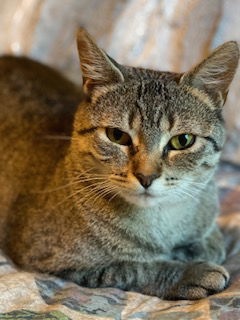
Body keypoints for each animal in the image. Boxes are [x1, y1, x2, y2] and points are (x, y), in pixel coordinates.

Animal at [0, 28, 238, 300]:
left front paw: (199, 246)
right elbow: (135, 268)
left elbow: (211, 241)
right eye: (117, 136)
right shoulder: (57, 261)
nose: (146, 176)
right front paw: (189, 272)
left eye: (183, 140)